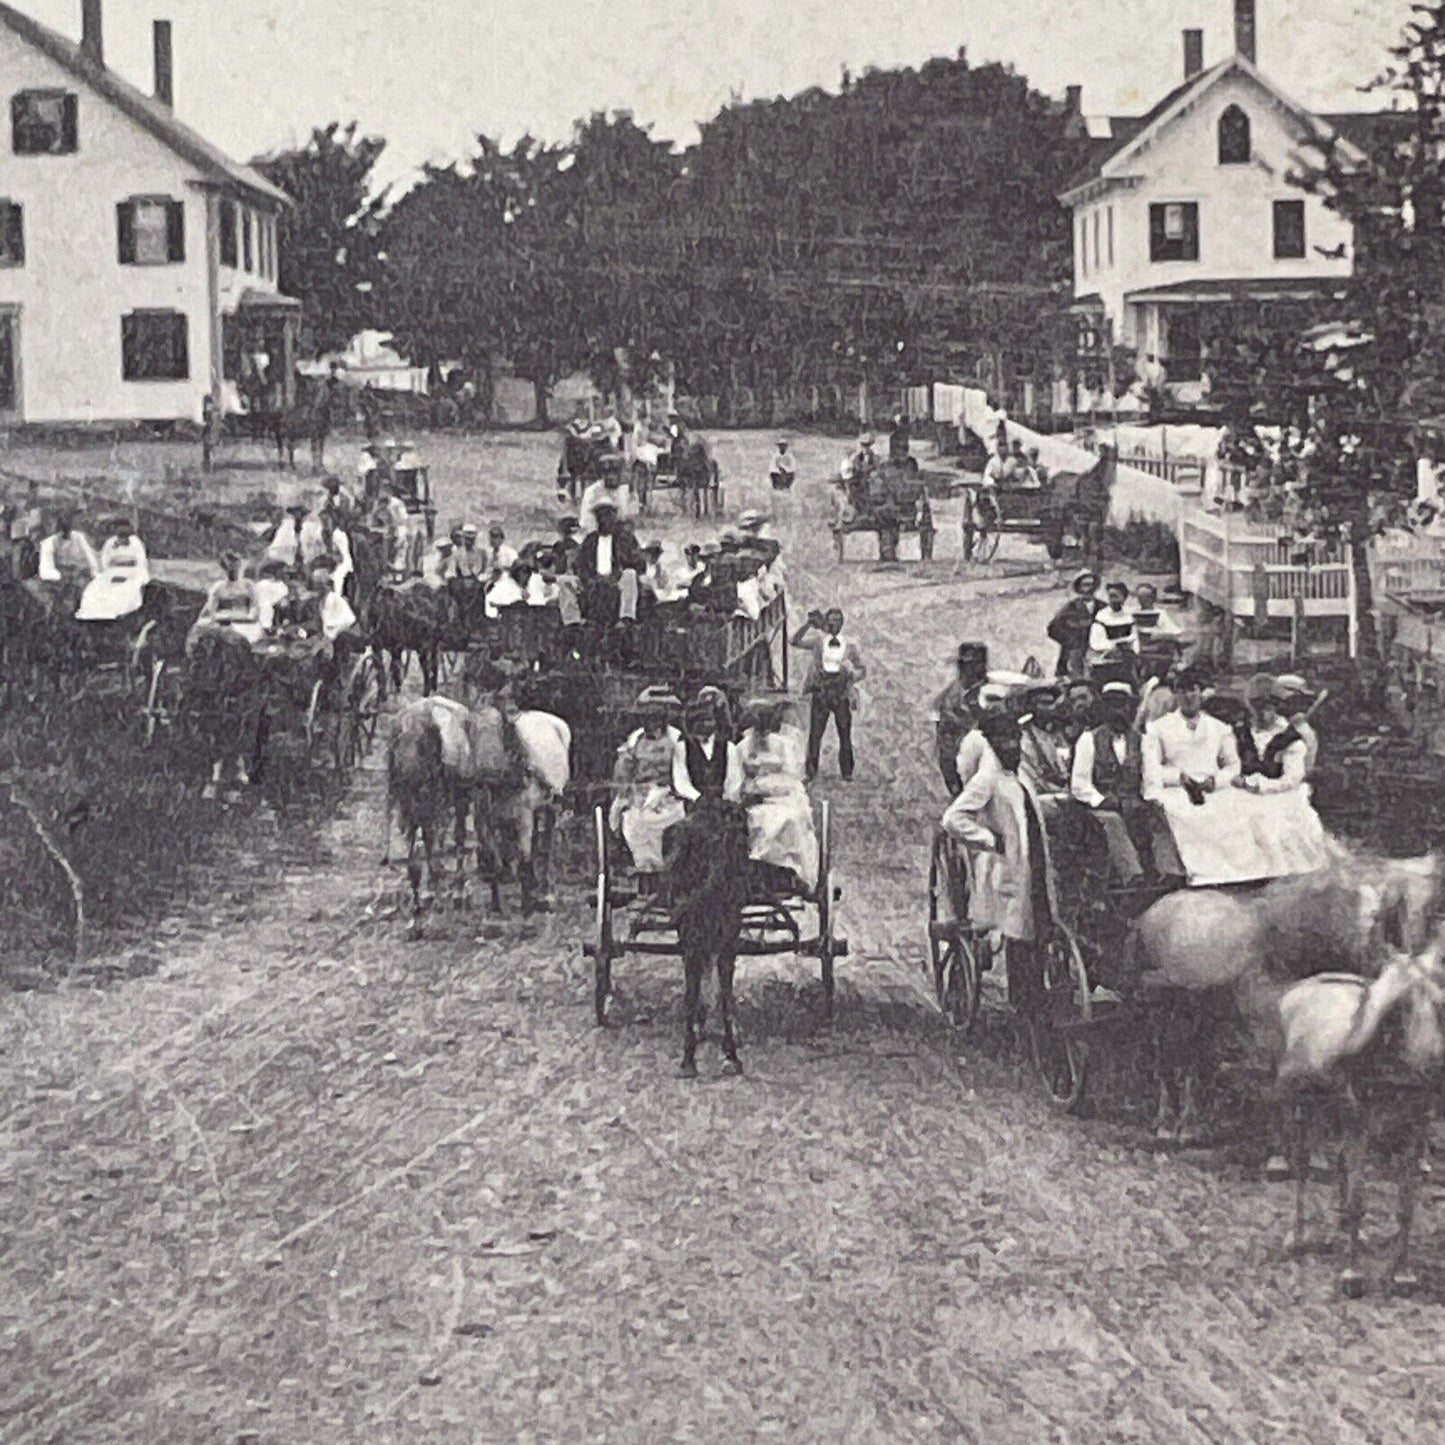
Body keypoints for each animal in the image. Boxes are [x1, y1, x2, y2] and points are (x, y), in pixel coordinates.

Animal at [664, 797, 757, 1080]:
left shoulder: (723, 940)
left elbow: (720, 993)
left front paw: (730, 1055)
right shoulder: (693, 939)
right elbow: (692, 995)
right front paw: (688, 1059)